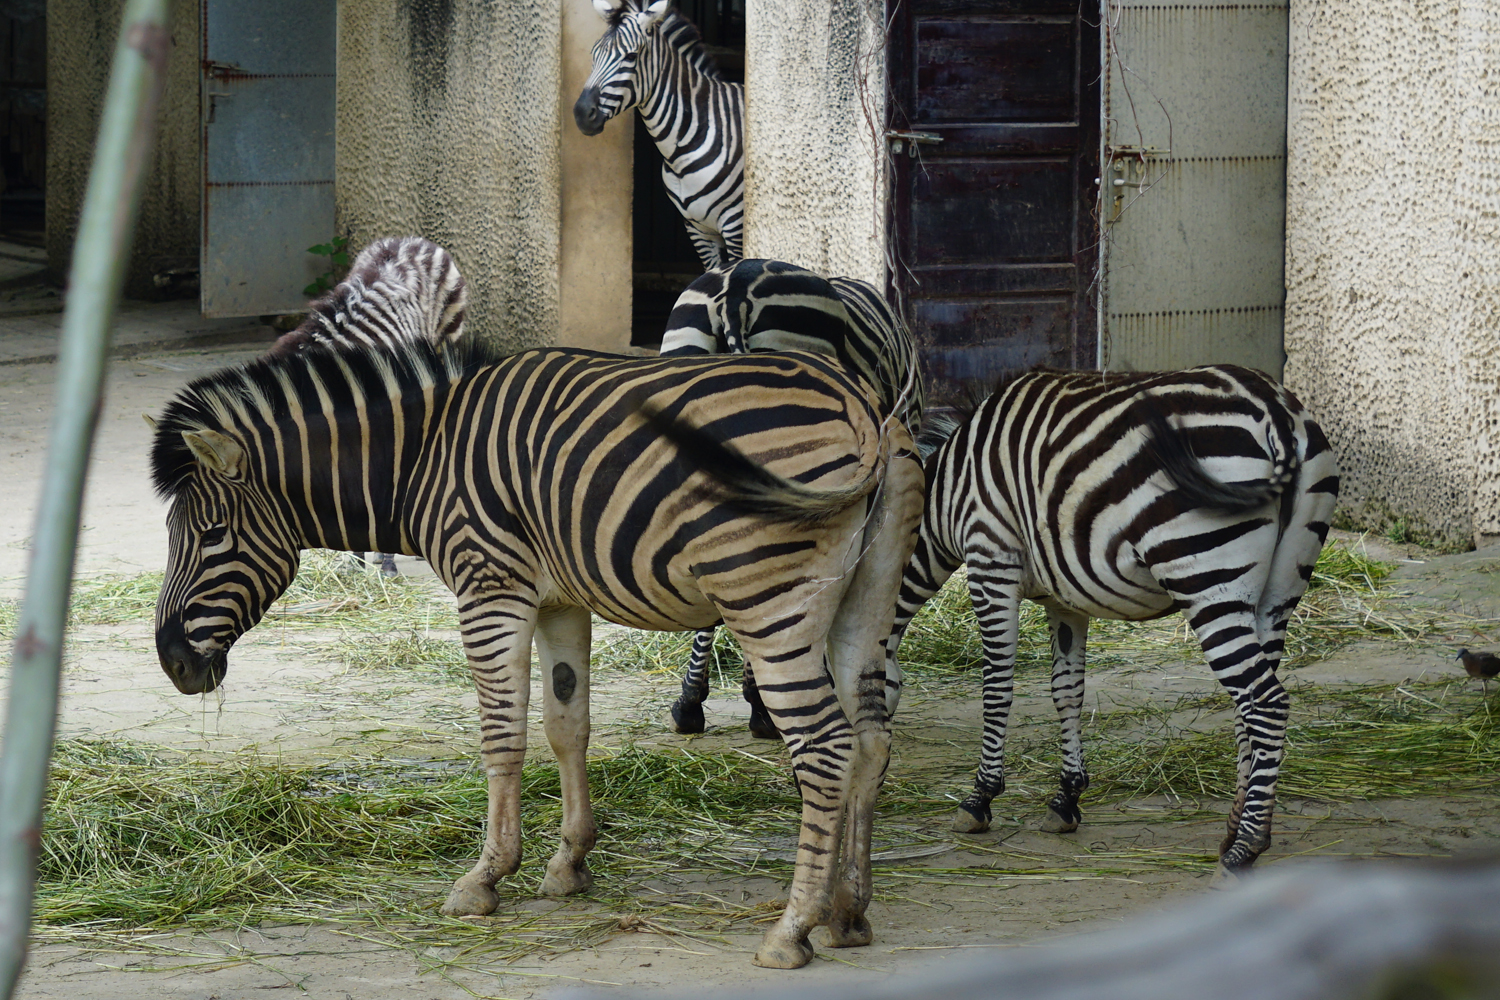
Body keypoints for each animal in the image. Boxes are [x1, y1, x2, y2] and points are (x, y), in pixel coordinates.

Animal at [149, 340, 924, 969]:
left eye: (212, 535)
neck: (422, 456)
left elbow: (503, 736)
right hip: (868, 598)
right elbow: (565, 724)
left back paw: (790, 930)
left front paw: (485, 877)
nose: (173, 664)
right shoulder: (559, 598)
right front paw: (569, 865)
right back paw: (849, 913)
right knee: (871, 741)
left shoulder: (490, 587)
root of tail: (862, 409)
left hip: (765, 601)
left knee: (824, 747)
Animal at [574, 0, 743, 269]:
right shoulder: (697, 229)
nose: (581, 113)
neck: (679, 153)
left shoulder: (735, 224)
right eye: (594, 54)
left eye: (631, 56)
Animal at [887, 365, 1338, 879]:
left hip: (1207, 577)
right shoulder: (1064, 596)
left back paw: (1247, 846)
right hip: (1279, 591)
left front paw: (979, 799)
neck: (947, 492)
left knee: (1266, 704)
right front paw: (1066, 800)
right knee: (1249, 708)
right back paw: (1233, 827)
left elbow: (997, 689)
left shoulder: (990, 562)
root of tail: (1276, 409)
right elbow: (1067, 691)